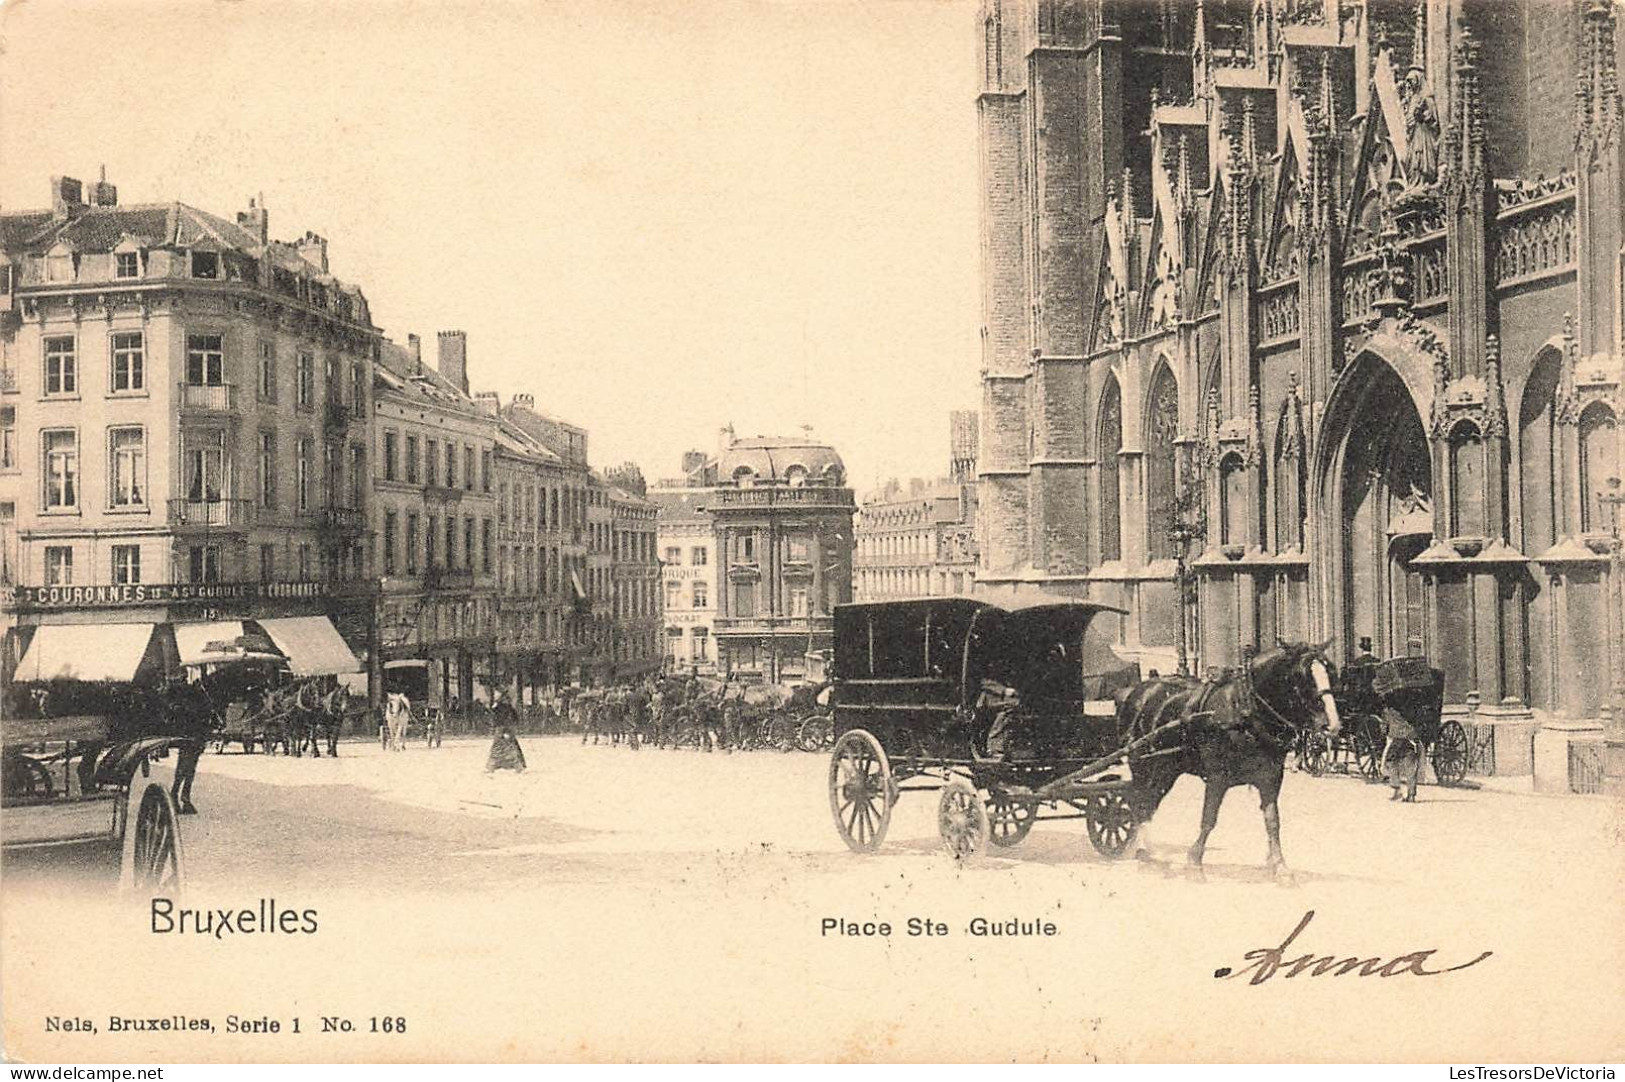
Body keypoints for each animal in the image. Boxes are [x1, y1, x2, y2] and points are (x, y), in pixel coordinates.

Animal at [1118, 640, 1345, 877]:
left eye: (1330, 672)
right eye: (1303, 676)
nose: (1332, 725)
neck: (1246, 712)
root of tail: (1139, 690)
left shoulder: (1271, 776)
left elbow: (1272, 821)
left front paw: (1280, 865)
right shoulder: (1217, 777)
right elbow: (1209, 819)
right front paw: (1195, 862)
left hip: (1167, 769)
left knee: (1147, 803)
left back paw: (1144, 852)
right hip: (1142, 765)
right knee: (1140, 803)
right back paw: (1145, 851)